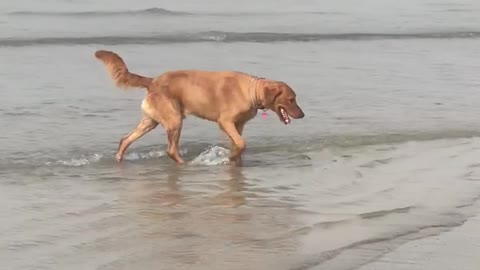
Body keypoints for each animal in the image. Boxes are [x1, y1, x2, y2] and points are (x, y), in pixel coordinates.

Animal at [94, 50, 304, 165]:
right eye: (292, 99)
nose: (302, 115)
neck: (252, 91)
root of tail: (153, 81)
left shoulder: (238, 124)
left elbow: (237, 143)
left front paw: (234, 159)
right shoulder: (226, 121)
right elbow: (241, 143)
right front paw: (233, 157)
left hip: (150, 120)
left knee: (125, 139)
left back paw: (119, 159)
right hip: (174, 119)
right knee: (171, 149)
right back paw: (184, 163)